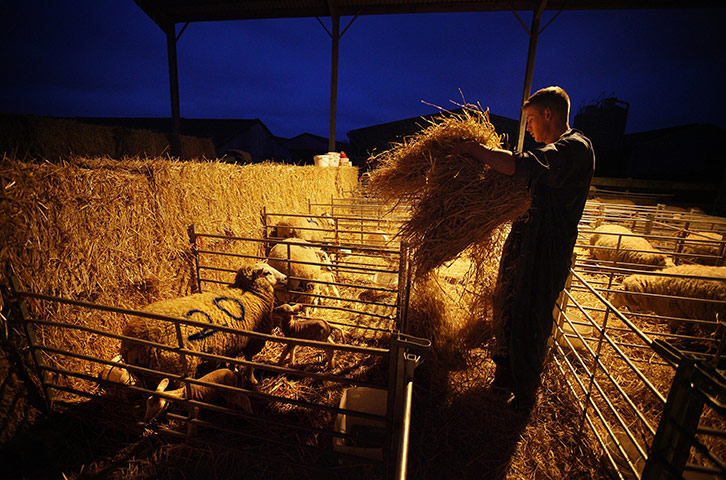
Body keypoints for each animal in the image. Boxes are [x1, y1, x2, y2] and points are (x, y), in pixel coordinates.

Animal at [120, 262, 287, 385]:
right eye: (267, 273)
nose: (285, 278)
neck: (251, 293)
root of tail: (132, 342)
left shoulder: (235, 341)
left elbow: (232, 360)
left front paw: (233, 371)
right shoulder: (253, 340)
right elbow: (250, 363)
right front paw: (252, 380)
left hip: (146, 375)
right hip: (176, 368)